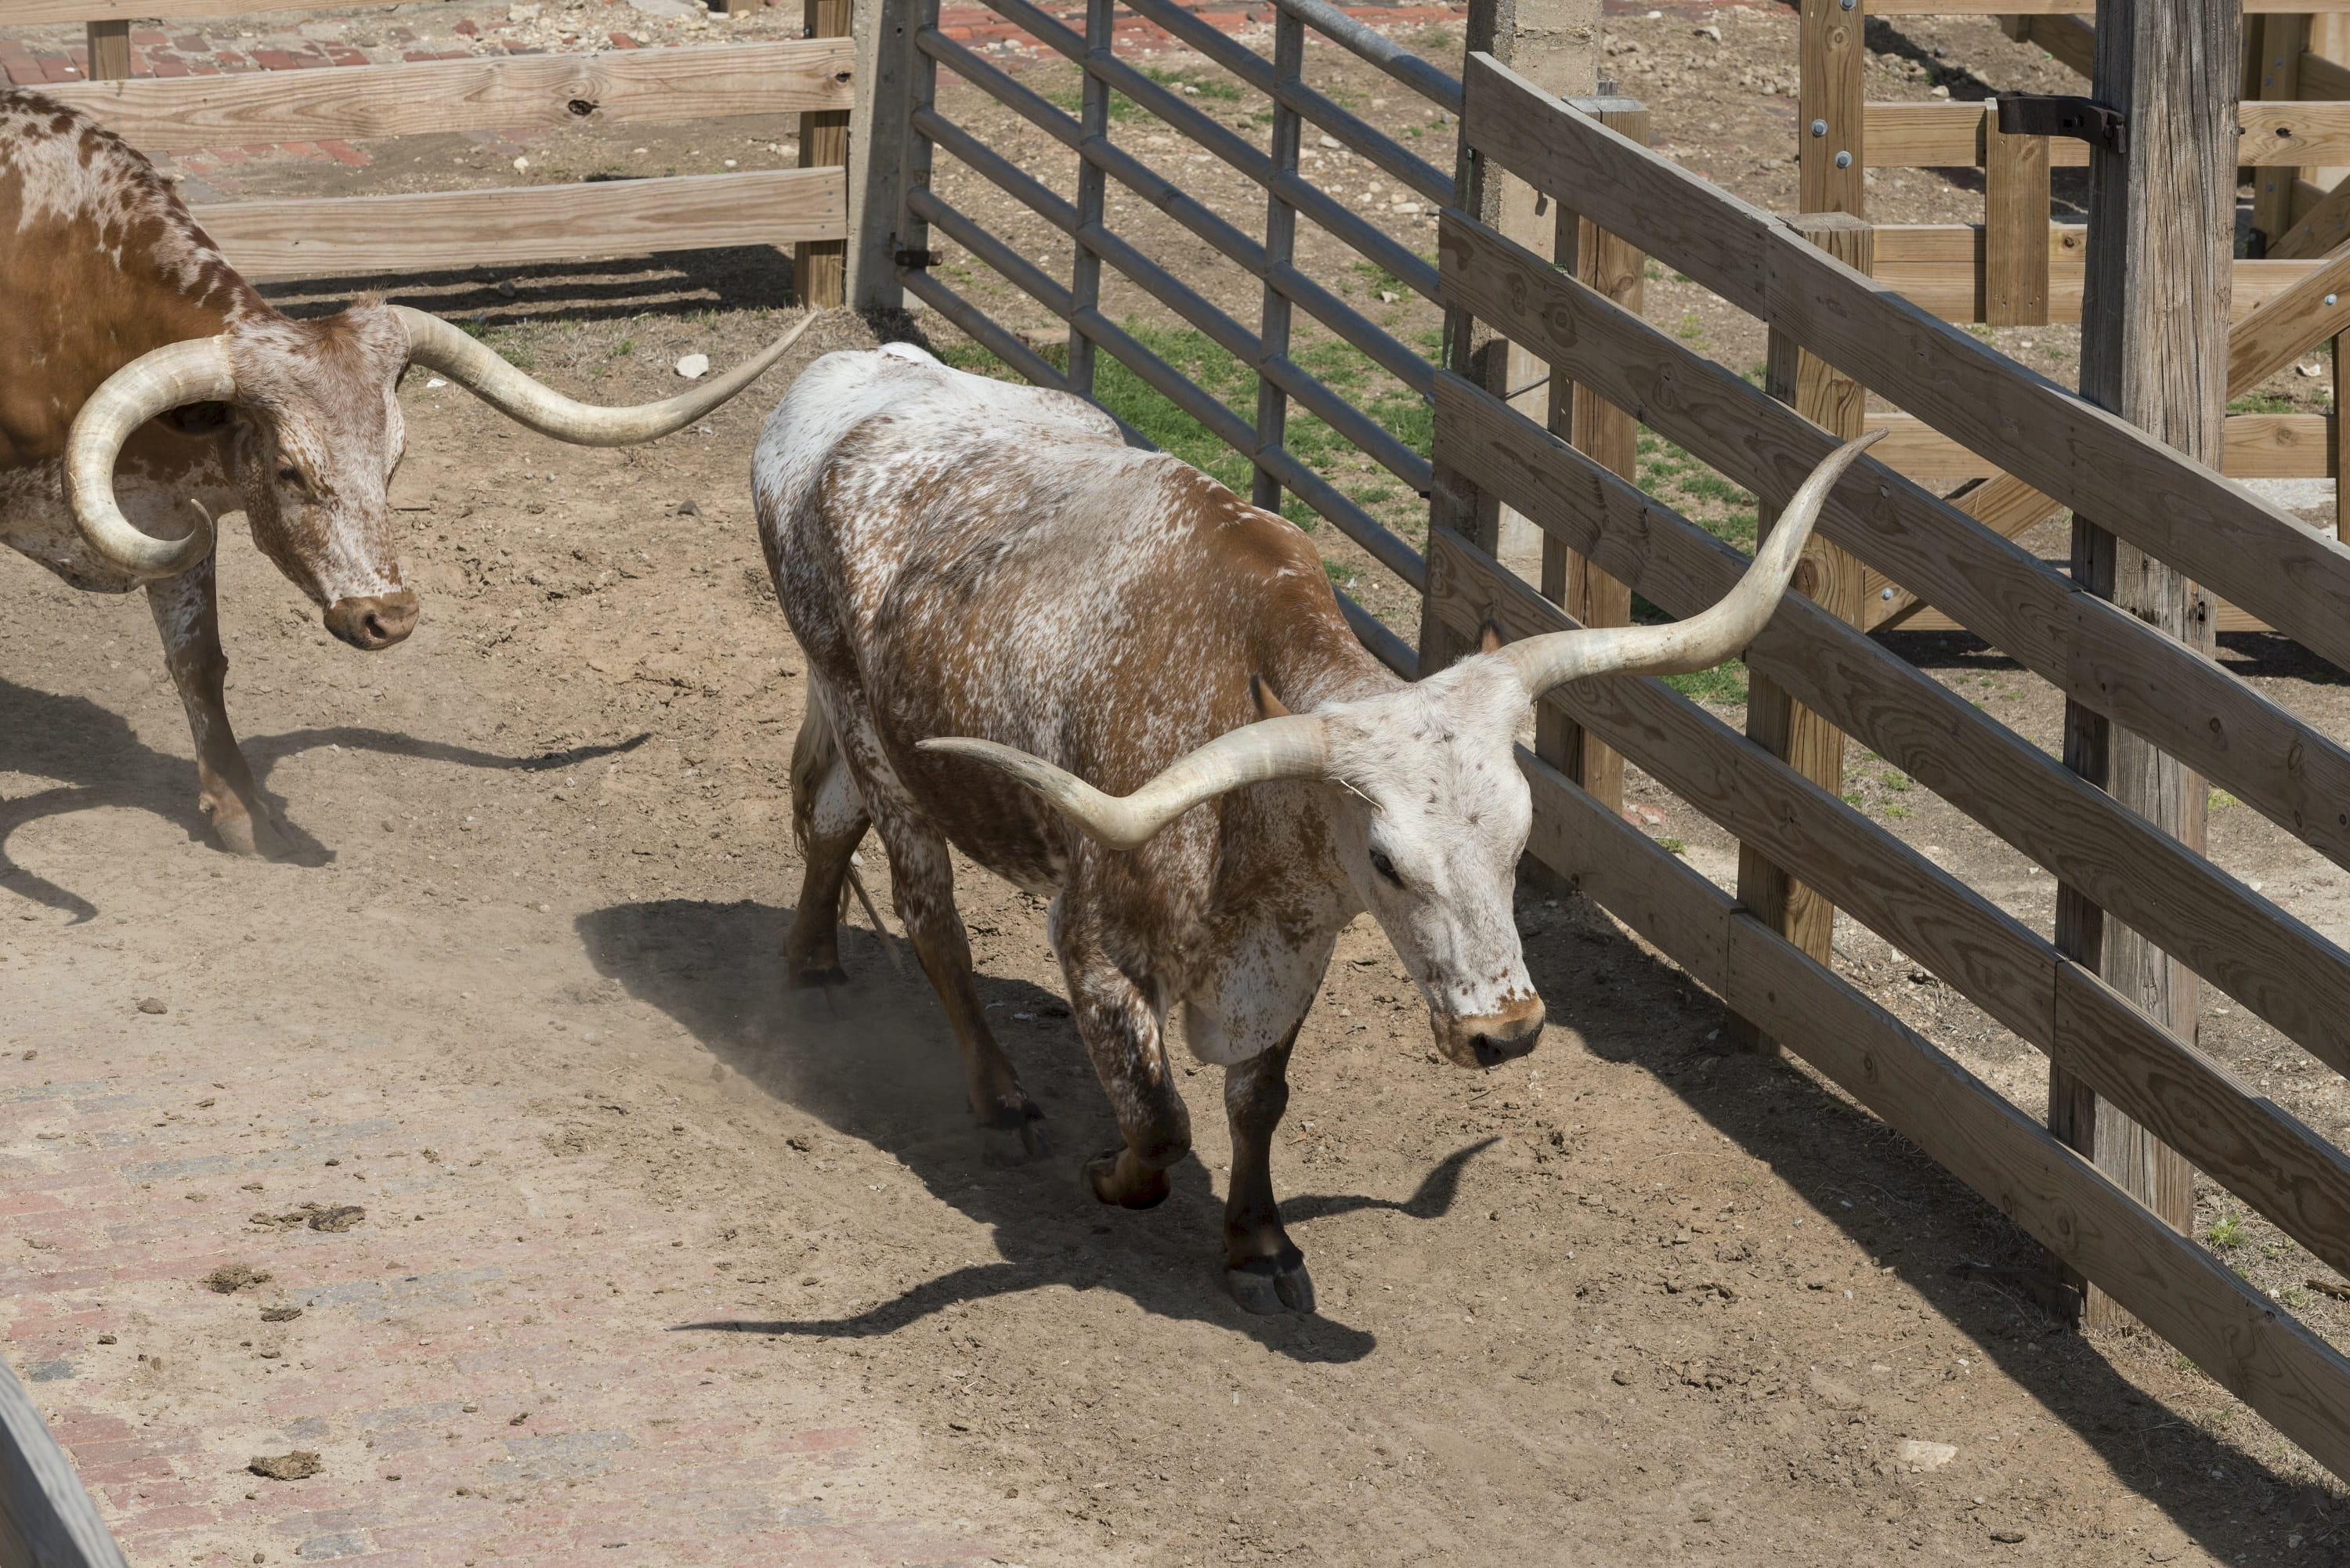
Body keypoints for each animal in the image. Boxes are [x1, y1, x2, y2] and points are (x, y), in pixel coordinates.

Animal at [0, 88, 812, 854]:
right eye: (289, 471)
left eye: (395, 462)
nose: (389, 618)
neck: (68, 297)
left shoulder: (170, 520)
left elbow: (198, 662)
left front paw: (243, 816)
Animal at [757, 341, 1877, 1314]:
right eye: (1387, 863)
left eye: (1521, 842)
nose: (1507, 1032)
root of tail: (849, 369)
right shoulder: (1094, 944)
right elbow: (1159, 1121)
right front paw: (1110, 1172)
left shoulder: (1297, 948)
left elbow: (1259, 1098)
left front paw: (1258, 1244)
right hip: (867, 720)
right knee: (930, 915)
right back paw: (998, 1099)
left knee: (827, 820)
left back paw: (812, 961)